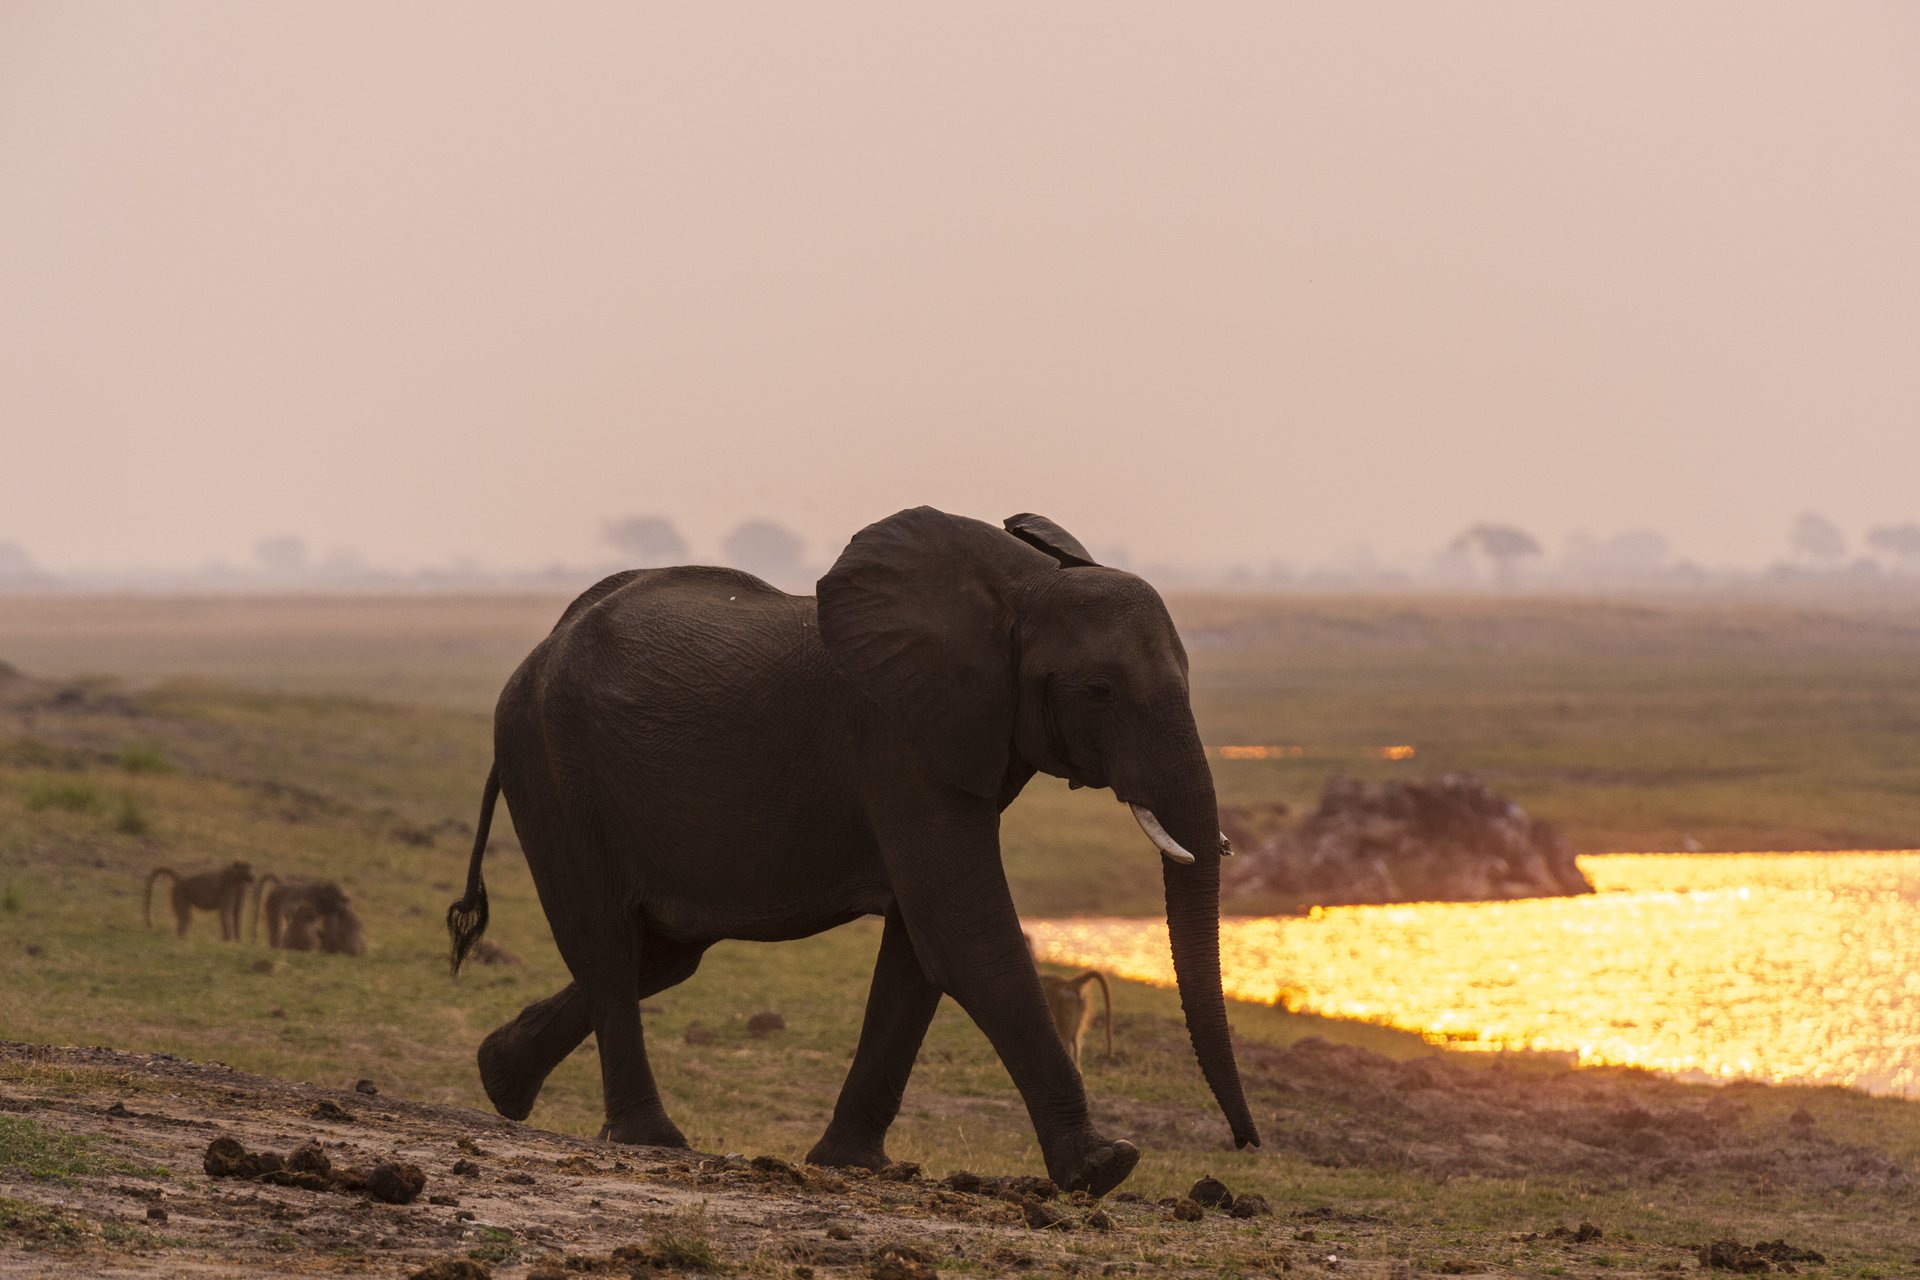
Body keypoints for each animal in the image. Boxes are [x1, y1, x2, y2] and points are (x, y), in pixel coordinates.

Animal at [446, 506, 1259, 1195]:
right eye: (1099, 691)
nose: (1247, 1145)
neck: (1024, 588)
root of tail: (535, 654)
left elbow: (920, 949)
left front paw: (854, 1164)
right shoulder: (896, 742)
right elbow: (965, 934)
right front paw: (1104, 1166)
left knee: (663, 954)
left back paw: (499, 1077)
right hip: (551, 770)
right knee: (608, 943)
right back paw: (651, 1140)